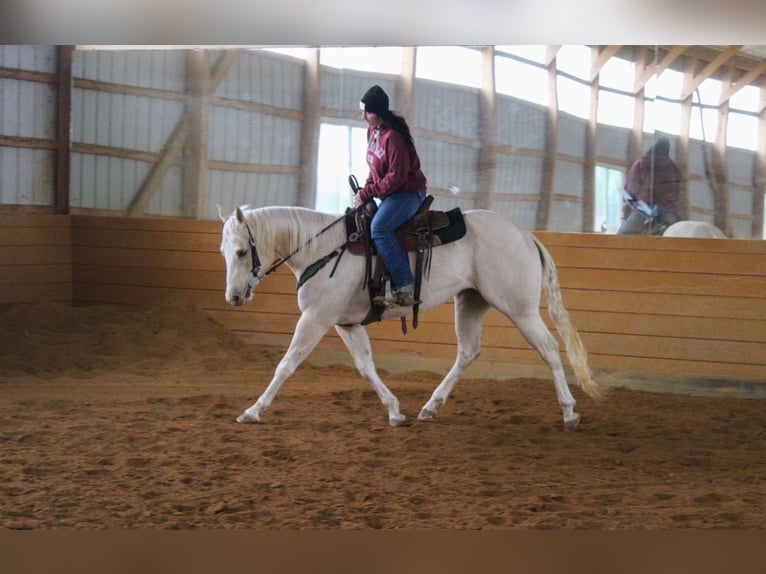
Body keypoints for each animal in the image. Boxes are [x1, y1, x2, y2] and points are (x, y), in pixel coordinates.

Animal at [218, 204, 603, 428]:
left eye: (241, 251)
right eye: (223, 252)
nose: (233, 296)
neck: (323, 250)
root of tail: (525, 236)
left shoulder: (315, 319)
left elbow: (286, 364)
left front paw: (253, 410)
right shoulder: (346, 324)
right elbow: (366, 366)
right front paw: (394, 409)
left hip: (519, 309)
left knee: (549, 349)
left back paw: (569, 411)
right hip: (471, 302)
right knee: (468, 352)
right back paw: (431, 406)